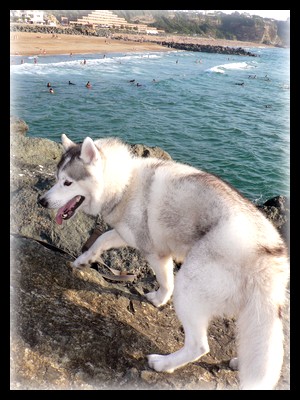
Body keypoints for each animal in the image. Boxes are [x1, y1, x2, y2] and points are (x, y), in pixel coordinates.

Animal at [38, 134, 290, 388]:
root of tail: (267, 252)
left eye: (67, 183)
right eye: (56, 179)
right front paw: (84, 259)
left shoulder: (155, 251)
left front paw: (159, 299)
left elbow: (165, 280)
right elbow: (102, 239)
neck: (124, 185)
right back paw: (240, 362)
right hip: (250, 310)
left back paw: (164, 364)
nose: (42, 201)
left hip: (189, 286)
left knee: (199, 346)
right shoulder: (127, 234)